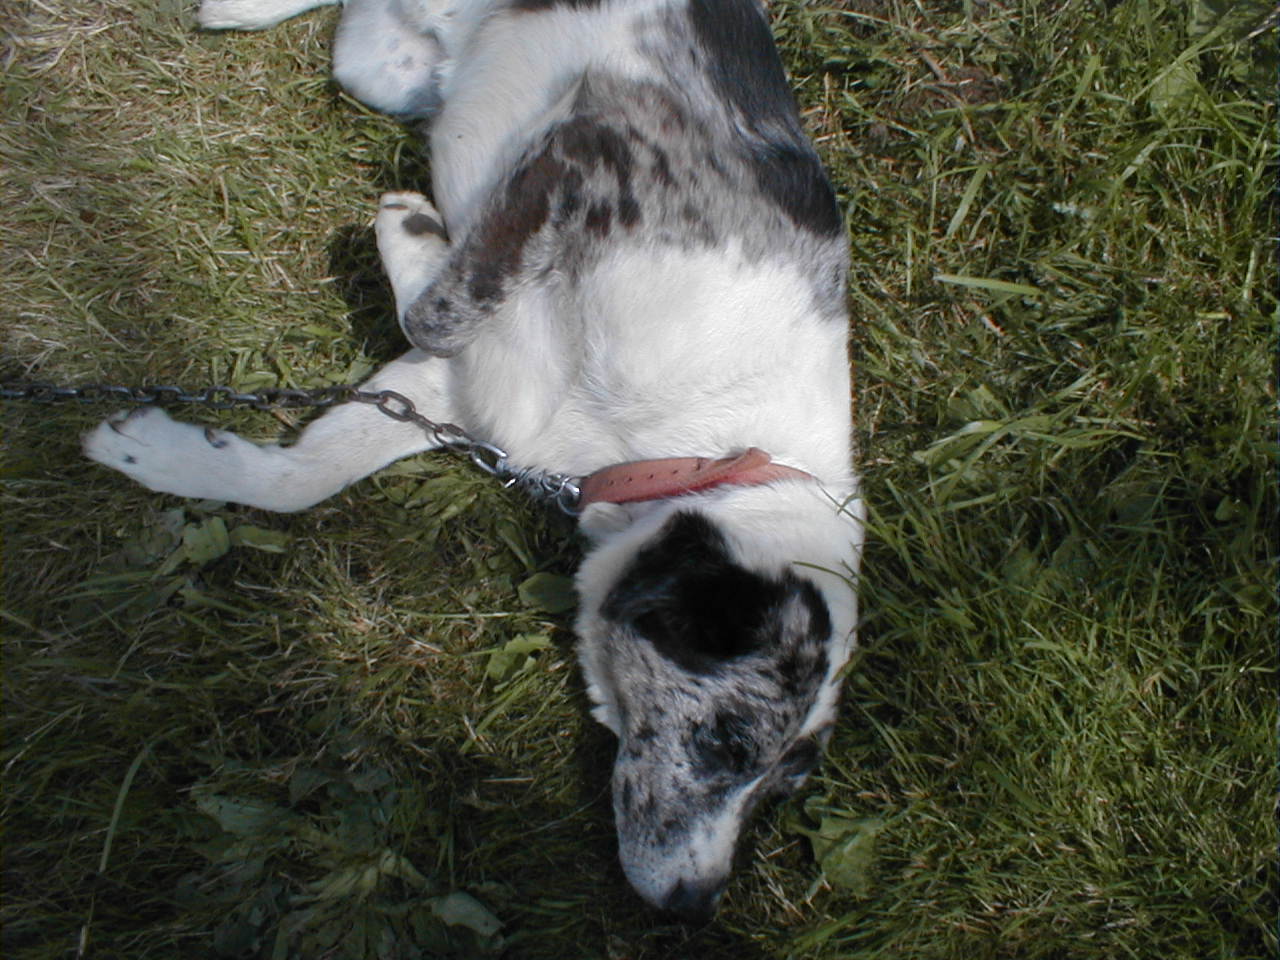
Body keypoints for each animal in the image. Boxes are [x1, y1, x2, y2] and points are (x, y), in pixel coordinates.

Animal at [85, 0, 865, 926]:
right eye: (725, 741)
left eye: (782, 789)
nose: (693, 906)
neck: (708, 442)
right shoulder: (592, 152)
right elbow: (434, 311)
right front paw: (411, 232)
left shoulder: (464, 396)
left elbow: (305, 474)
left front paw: (156, 451)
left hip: (375, 67)